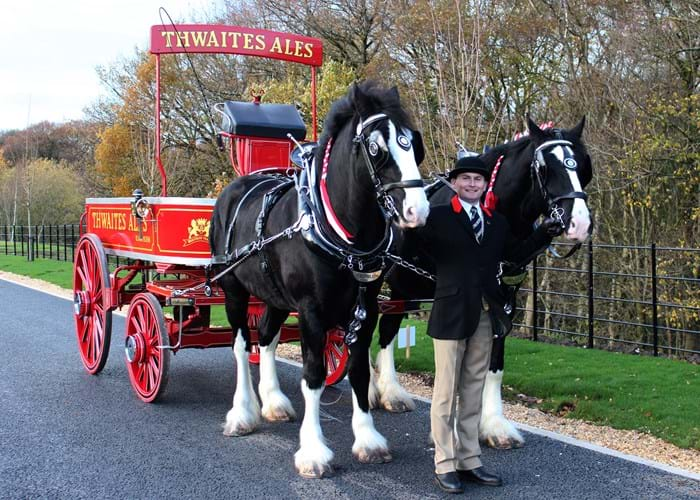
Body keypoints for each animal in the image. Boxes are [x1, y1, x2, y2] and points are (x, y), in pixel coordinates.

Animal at [209, 81, 426, 476]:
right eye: (376, 148)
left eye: (413, 143)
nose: (417, 210)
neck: (342, 235)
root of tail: (234, 187)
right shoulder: (310, 311)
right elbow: (313, 376)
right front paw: (313, 451)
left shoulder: (365, 309)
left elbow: (358, 370)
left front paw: (368, 439)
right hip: (233, 289)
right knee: (240, 345)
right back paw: (242, 413)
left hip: (275, 296)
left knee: (266, 338)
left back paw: (273, 402)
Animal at [372, 118, 592, 450]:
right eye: (545, 168)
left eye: (581, 165)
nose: (579, 222)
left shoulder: (505, 295)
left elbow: (495, 361)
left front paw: (492, 424)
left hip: (403, 288)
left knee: (387, 327)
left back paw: (388, 390)